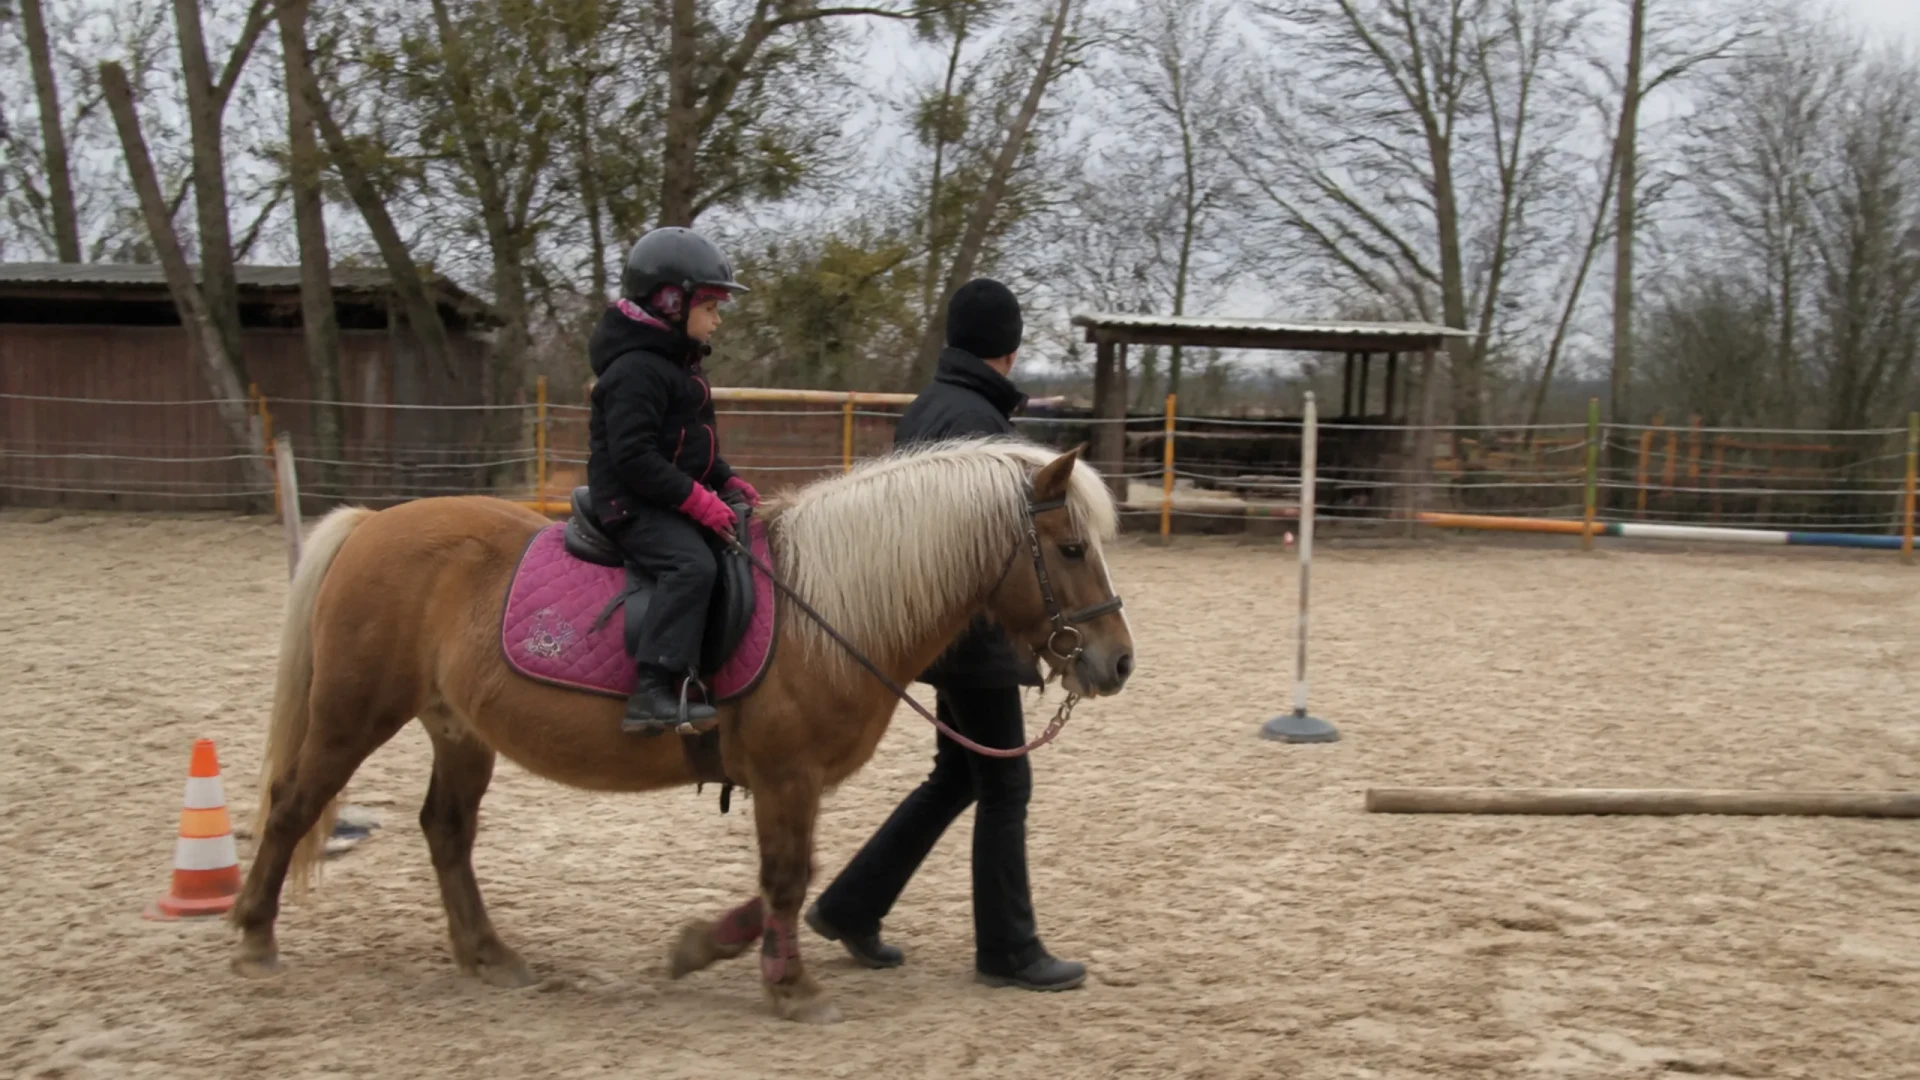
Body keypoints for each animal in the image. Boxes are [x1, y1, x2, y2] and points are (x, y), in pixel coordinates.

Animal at [228, 438, 1134, 1024]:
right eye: (1071, 547)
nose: (1118, 662)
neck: (827, 607)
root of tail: (371, 524)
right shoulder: (785, 775)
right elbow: (788, 878)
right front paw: (789, 988)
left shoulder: (789, 780)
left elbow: (793, 878)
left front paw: (704, 946)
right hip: (352, 716)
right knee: (293, 807)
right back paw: (253, 937)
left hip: (456, 730)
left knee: (445, 832)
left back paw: (488, 954)